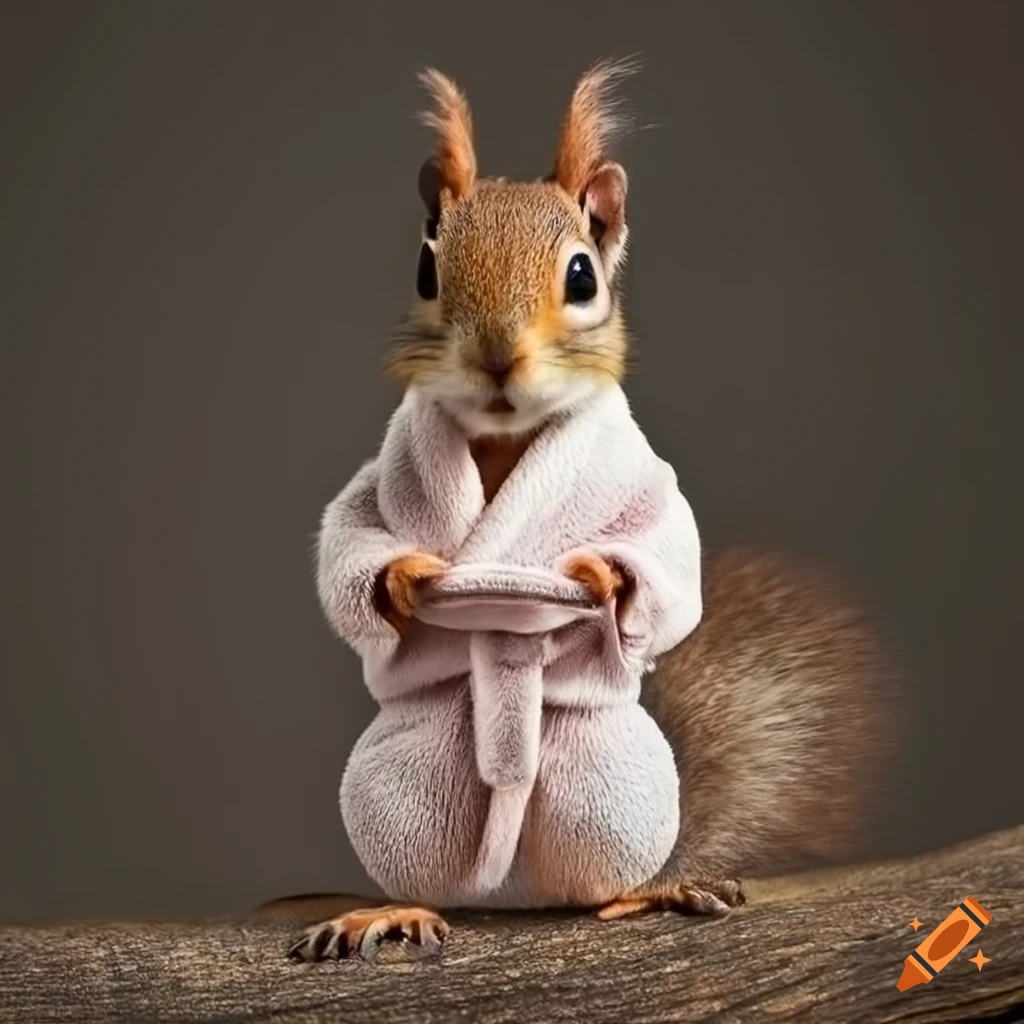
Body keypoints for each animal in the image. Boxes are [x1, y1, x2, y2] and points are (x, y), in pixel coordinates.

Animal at [281, 59, 905, 962]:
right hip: (398, 791)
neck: (504, 437)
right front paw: (400, 581)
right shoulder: (380, 475)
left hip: (604, 787)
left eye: (582, 276)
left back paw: (649, 890)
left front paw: (606, 577)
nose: (497, 356)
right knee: (432, 872)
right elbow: (354, 538)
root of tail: (513, 891)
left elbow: (664, 552)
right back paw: (396, 908)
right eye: (428, 272)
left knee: (598, 877)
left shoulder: (645, 478)